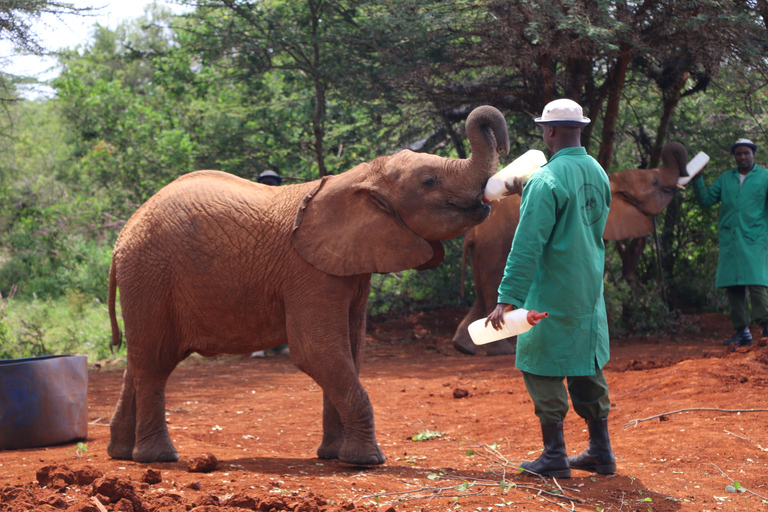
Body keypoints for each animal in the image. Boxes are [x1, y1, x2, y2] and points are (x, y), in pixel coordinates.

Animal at [103, 104, 510, 464]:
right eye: (429, 181)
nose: (506, 147)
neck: (359, 178)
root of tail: (121, 240)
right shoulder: (308, 272)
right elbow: (317, 351)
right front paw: (367, 461)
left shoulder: (349, 266)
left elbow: (351, 351)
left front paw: (333, 456)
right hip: (150, 275)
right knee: (155, 362)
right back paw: (159, 457)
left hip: (145, 280)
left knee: (138, 360)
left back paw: (121, 453)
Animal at [452, 141, 692, 356]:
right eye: (655, 182)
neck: (614, 178)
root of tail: (471, 234)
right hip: (494, 247)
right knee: (493, 286)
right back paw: (502, 349)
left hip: (482, 250)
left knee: (482, 294)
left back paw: (465, 346)